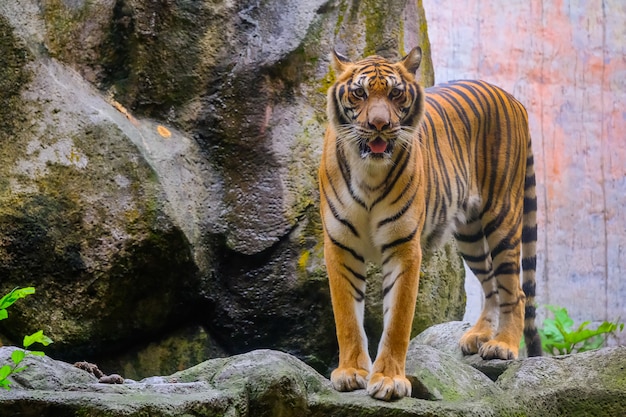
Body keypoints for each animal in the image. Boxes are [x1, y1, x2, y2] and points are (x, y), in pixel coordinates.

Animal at [316, 47, 540, 402]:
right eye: (359, 93)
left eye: (395, 94)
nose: (379, 124)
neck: (369, 173)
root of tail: (513, 98)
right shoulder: (340, 246)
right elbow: (347, 318)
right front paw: (351, 373)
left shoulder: (404, 248)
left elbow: (397, 322)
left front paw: (389, 379)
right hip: (470, 235)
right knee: (491, 284)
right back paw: (478, 336)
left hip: (502, 216)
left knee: (513, 288)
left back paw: (502, 345)